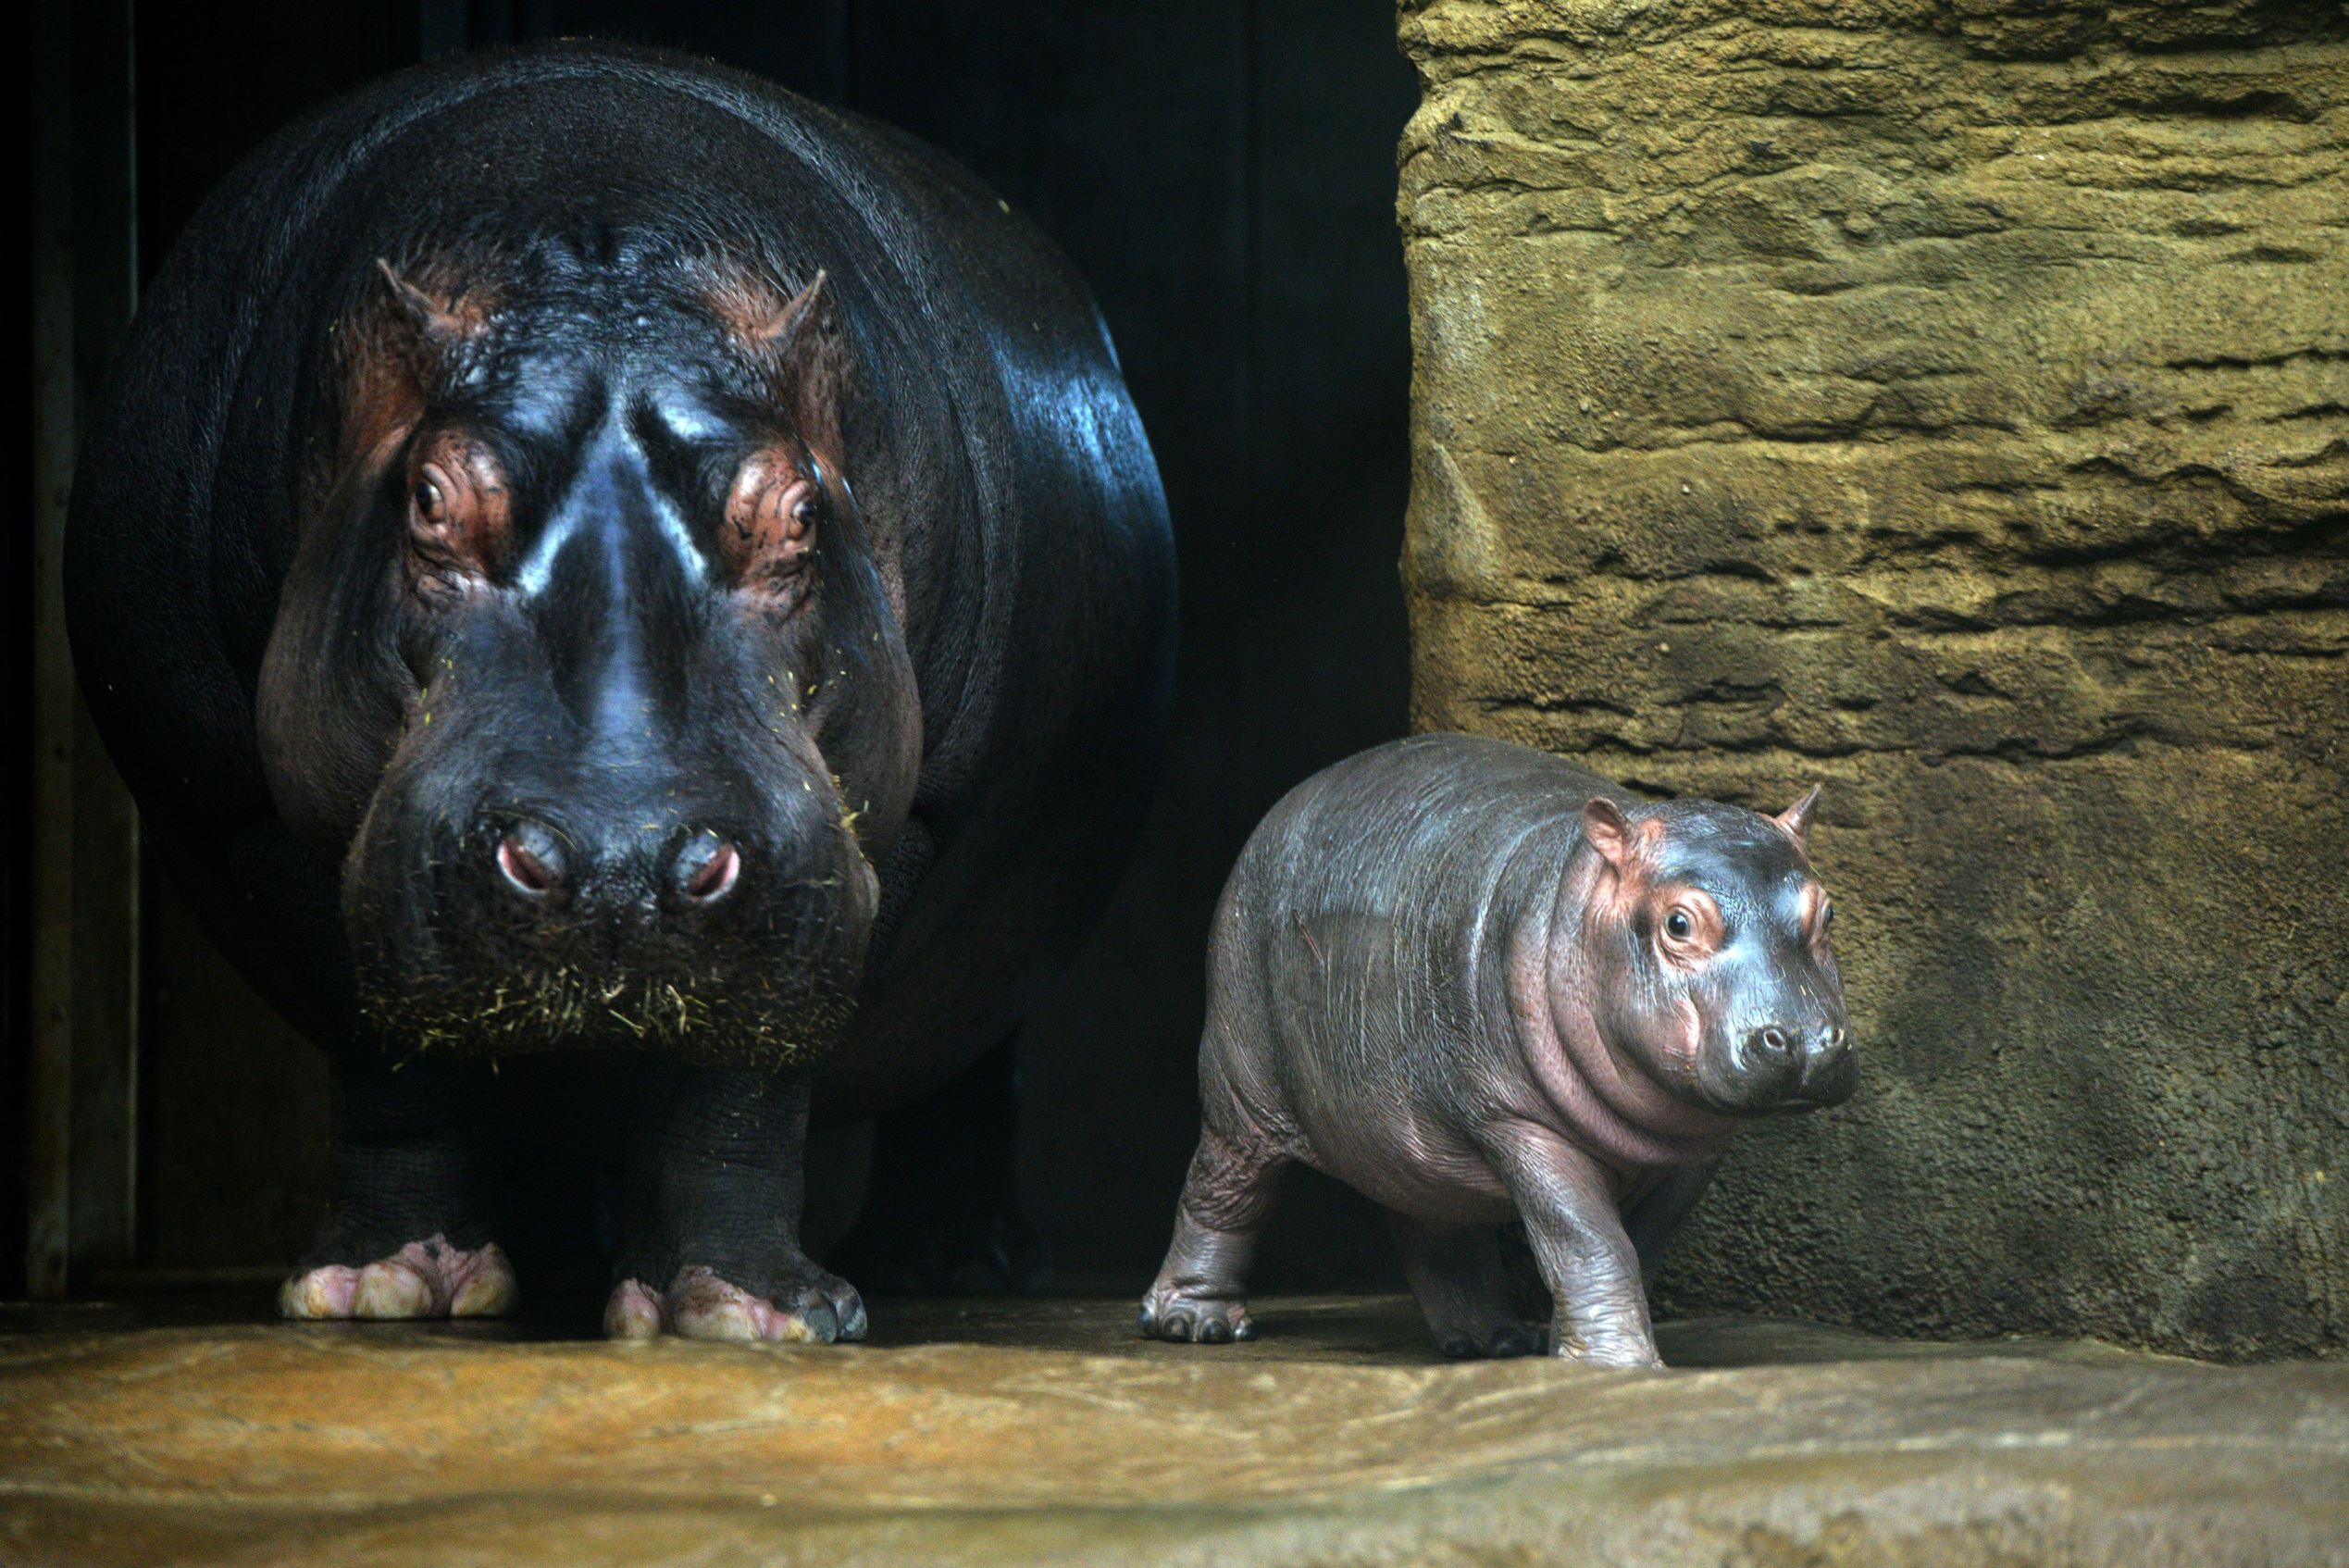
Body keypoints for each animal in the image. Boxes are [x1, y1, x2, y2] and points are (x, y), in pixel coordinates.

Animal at [65, 43, 1174, 1342]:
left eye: (802, 510)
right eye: (429, 499)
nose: (617, 863)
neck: (601, 265)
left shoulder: (891, 827)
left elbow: (743, 1075)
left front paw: (745, 1309)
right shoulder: (260, 812)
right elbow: (385, 1056)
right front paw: (385, 1286)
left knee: (974, 1056)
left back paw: (953, 1259)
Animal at [1140, 734, 1852, 1366]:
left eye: (1828, 913)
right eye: (1679, 922)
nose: (1805, 1041)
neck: (1579, 900)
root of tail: (1286, 805)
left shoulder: (1696, 1151)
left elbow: (1640, 1243)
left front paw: (1567, 1349)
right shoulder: (1518, 1122)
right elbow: (1588, 1238)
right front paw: (1620, 1366)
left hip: (1411, 1131)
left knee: (1435, 1223)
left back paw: (1493, 1343)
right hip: (1242, 1080)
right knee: (1224, 1188)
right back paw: (1194, 1324)